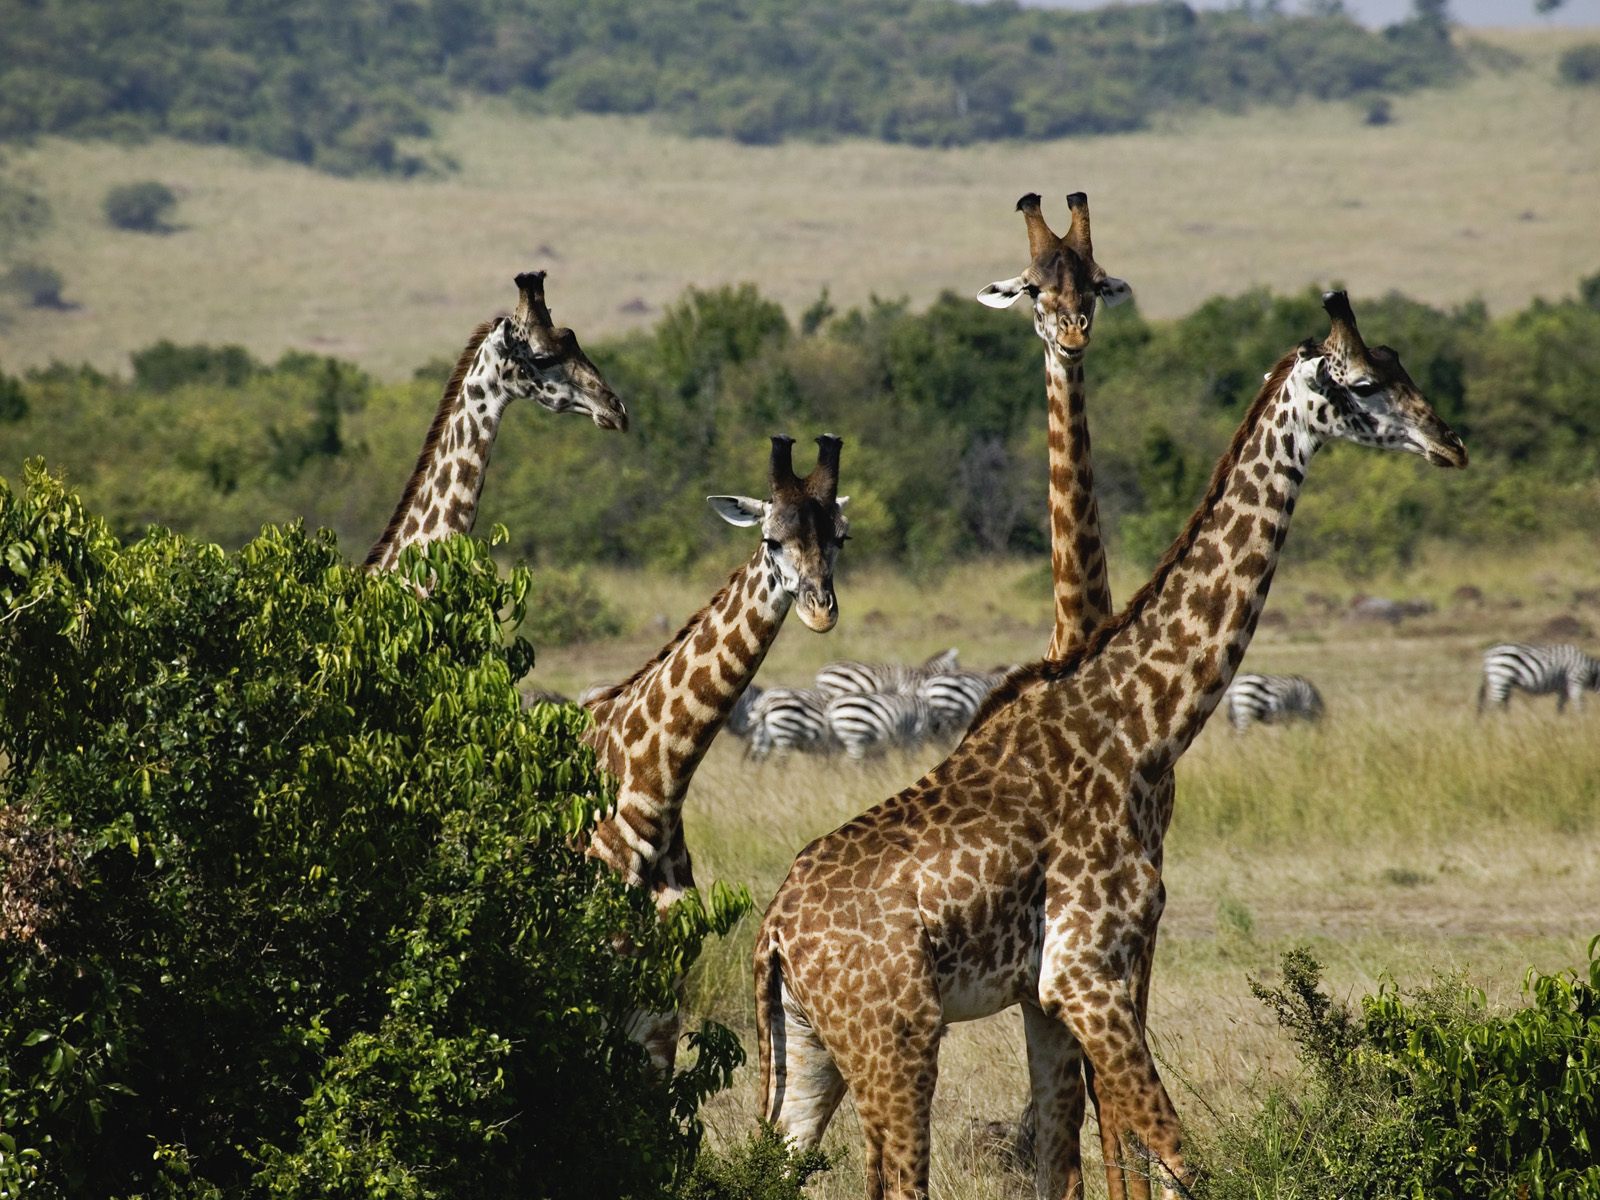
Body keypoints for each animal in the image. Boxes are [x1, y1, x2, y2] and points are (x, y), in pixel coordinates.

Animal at [1472, 649, 1600, 713]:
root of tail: (1488, 656)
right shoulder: (1575, 682)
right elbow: (1580, 705)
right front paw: (1581, 723)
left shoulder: (1563, 688)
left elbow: (1560, 706)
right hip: (1500, 678)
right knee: (1492, 707)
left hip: (1503, 683)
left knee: (1502, 705)